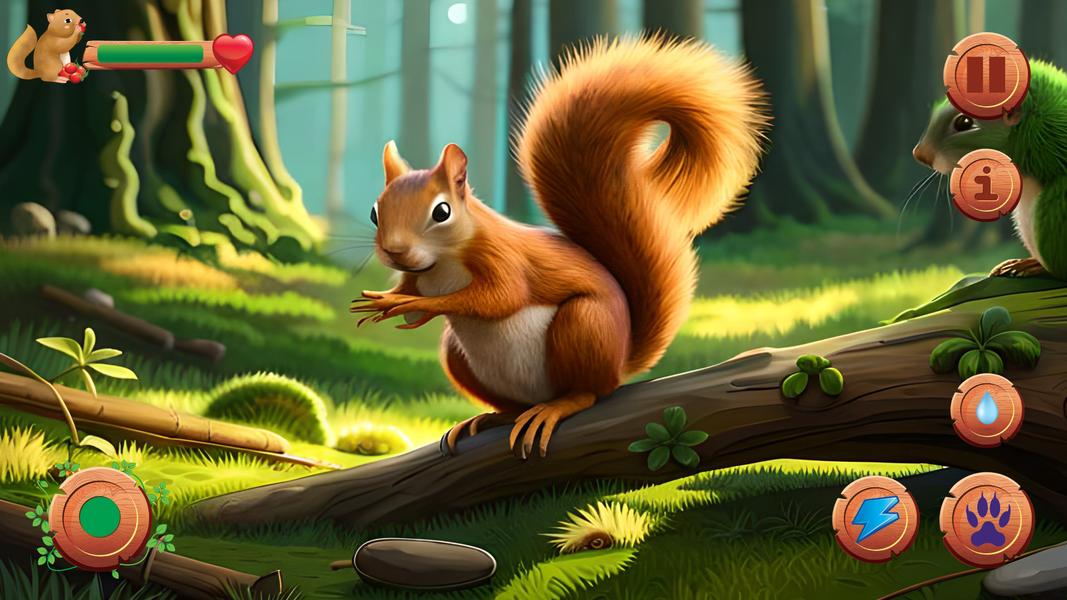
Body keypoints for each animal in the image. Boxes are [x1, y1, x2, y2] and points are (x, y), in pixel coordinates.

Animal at [352, 37, 767, 458]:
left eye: (442, 211)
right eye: (374, 212)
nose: (394, 251)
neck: (440, 265)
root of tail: (619, 363)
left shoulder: (503, 258)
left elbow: (500, 297)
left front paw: (413, 304)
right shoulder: (416, 274)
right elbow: (416, 294)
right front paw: (394, 302)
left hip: (583, 326)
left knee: (587, 392)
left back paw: (556, 408)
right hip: (457, 355)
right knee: (510, 402)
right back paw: (487, 418)